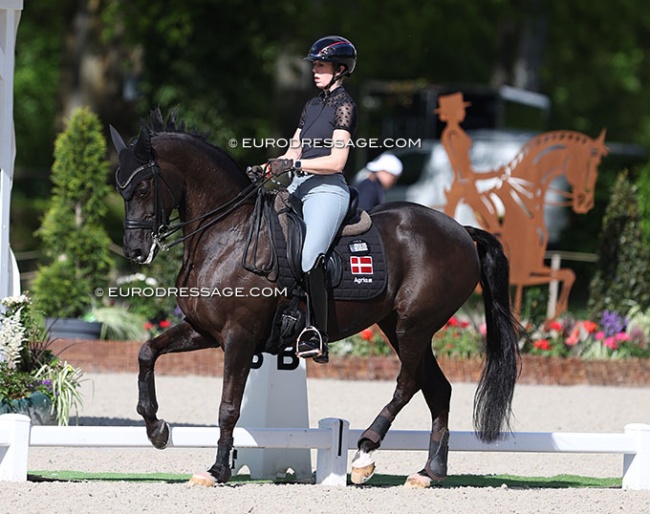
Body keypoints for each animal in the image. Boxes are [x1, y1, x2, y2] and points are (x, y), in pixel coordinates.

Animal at [110, 110, 516, 486]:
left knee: (409, 383)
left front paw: (218, 469)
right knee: (437, 388)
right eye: (121, 190)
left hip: (413, 326)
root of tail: (460, 230)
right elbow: (146, 351)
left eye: (143, 187)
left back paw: (365, 452)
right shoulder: (203, 330)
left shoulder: (239, 336)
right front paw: (156, 429)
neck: (229, 233)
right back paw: (429, 471)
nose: (135, 251)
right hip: (399, 326)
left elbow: (228, 407)